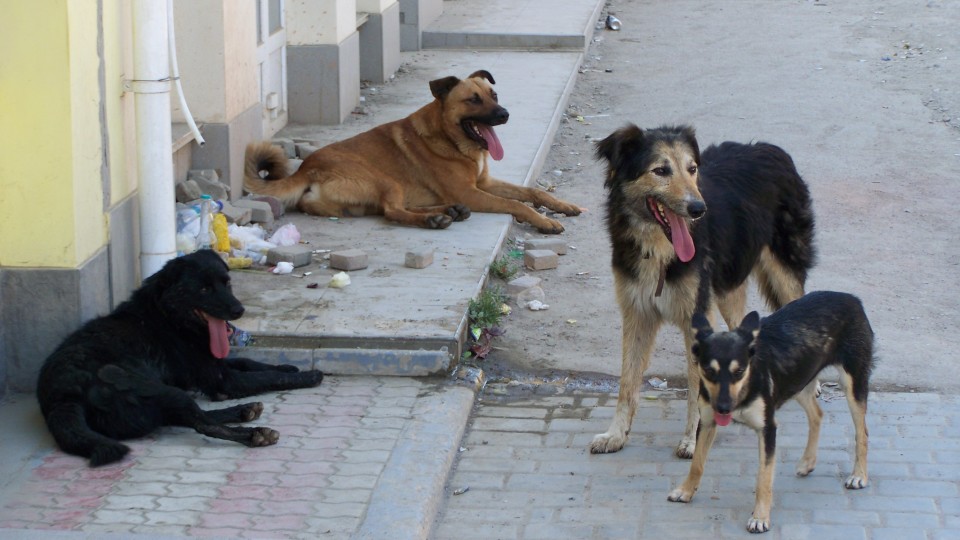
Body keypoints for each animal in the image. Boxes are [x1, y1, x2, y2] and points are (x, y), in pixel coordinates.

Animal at [36, 251, 326, 466]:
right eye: (204, 289)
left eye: (226, 282)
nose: (239, 310)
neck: (169, 316)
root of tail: (63, 396)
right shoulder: (223, 380)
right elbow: (266, 376)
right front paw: (307, 375)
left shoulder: (212, 366)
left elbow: (250, 363)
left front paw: (287, 366)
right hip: (156, 389)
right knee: (203, 424)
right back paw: (255, 434)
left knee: (190, 416)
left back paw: (244, 411)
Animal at [244, 70, 580, 234]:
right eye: (473, 100)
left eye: (493, 94)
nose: (505, 114)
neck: (450, 139)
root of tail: (306, 168)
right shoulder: (472, 192)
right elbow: (517, 204)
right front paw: (544, 221)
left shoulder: (482, 184)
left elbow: (533, 192)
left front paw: (562, 205)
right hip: (384, 179)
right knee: (392, 211)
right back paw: (436, 219)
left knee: (391, 209)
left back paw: (448, 212)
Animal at [588, 125, 812, 460]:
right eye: (661, 170)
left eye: (692, 169)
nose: (698, 209)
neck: (659, 250)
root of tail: (770, 148)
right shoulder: (637, 313)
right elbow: (627, 383)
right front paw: (616, 434)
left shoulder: (697, 316)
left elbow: (696, 388)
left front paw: (693, 440)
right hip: (727, 288)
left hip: (784, 272)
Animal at [668, 292, 876, 532]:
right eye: (709, 371)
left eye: (739, 371)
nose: (723, 408)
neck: (746, 386)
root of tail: (851, 298)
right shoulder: (708, 422)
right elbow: (697, 464)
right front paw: (686, 491)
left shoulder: (768, 429)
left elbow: (763, 478)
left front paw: (760, 517)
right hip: (798, 381)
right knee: (817, 414)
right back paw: (808, 462)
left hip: (852, 383)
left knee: (862, 432)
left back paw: (859, 475)